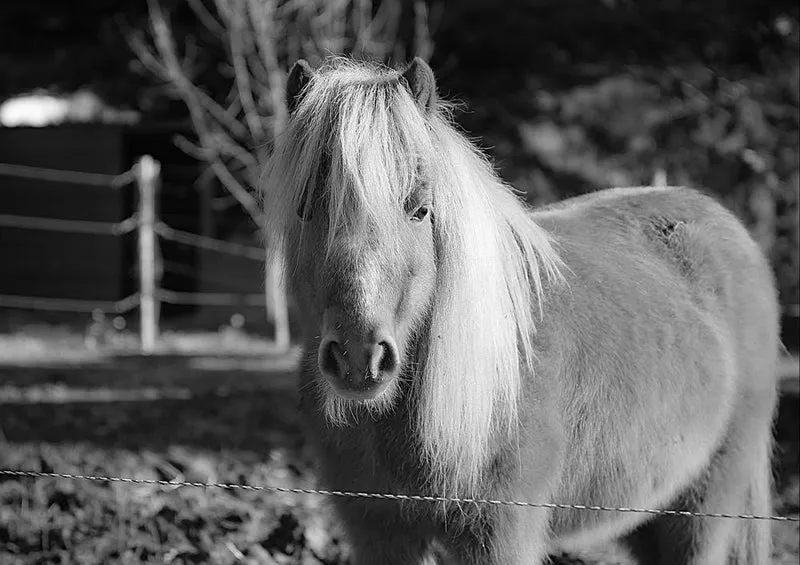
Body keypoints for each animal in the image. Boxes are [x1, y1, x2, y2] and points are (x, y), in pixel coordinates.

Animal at [261, 56, 781, 565]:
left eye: (420, 210)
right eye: (306, 209)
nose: (358, 357)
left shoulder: (500, 535)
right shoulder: (379, 532)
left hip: (700, 513)